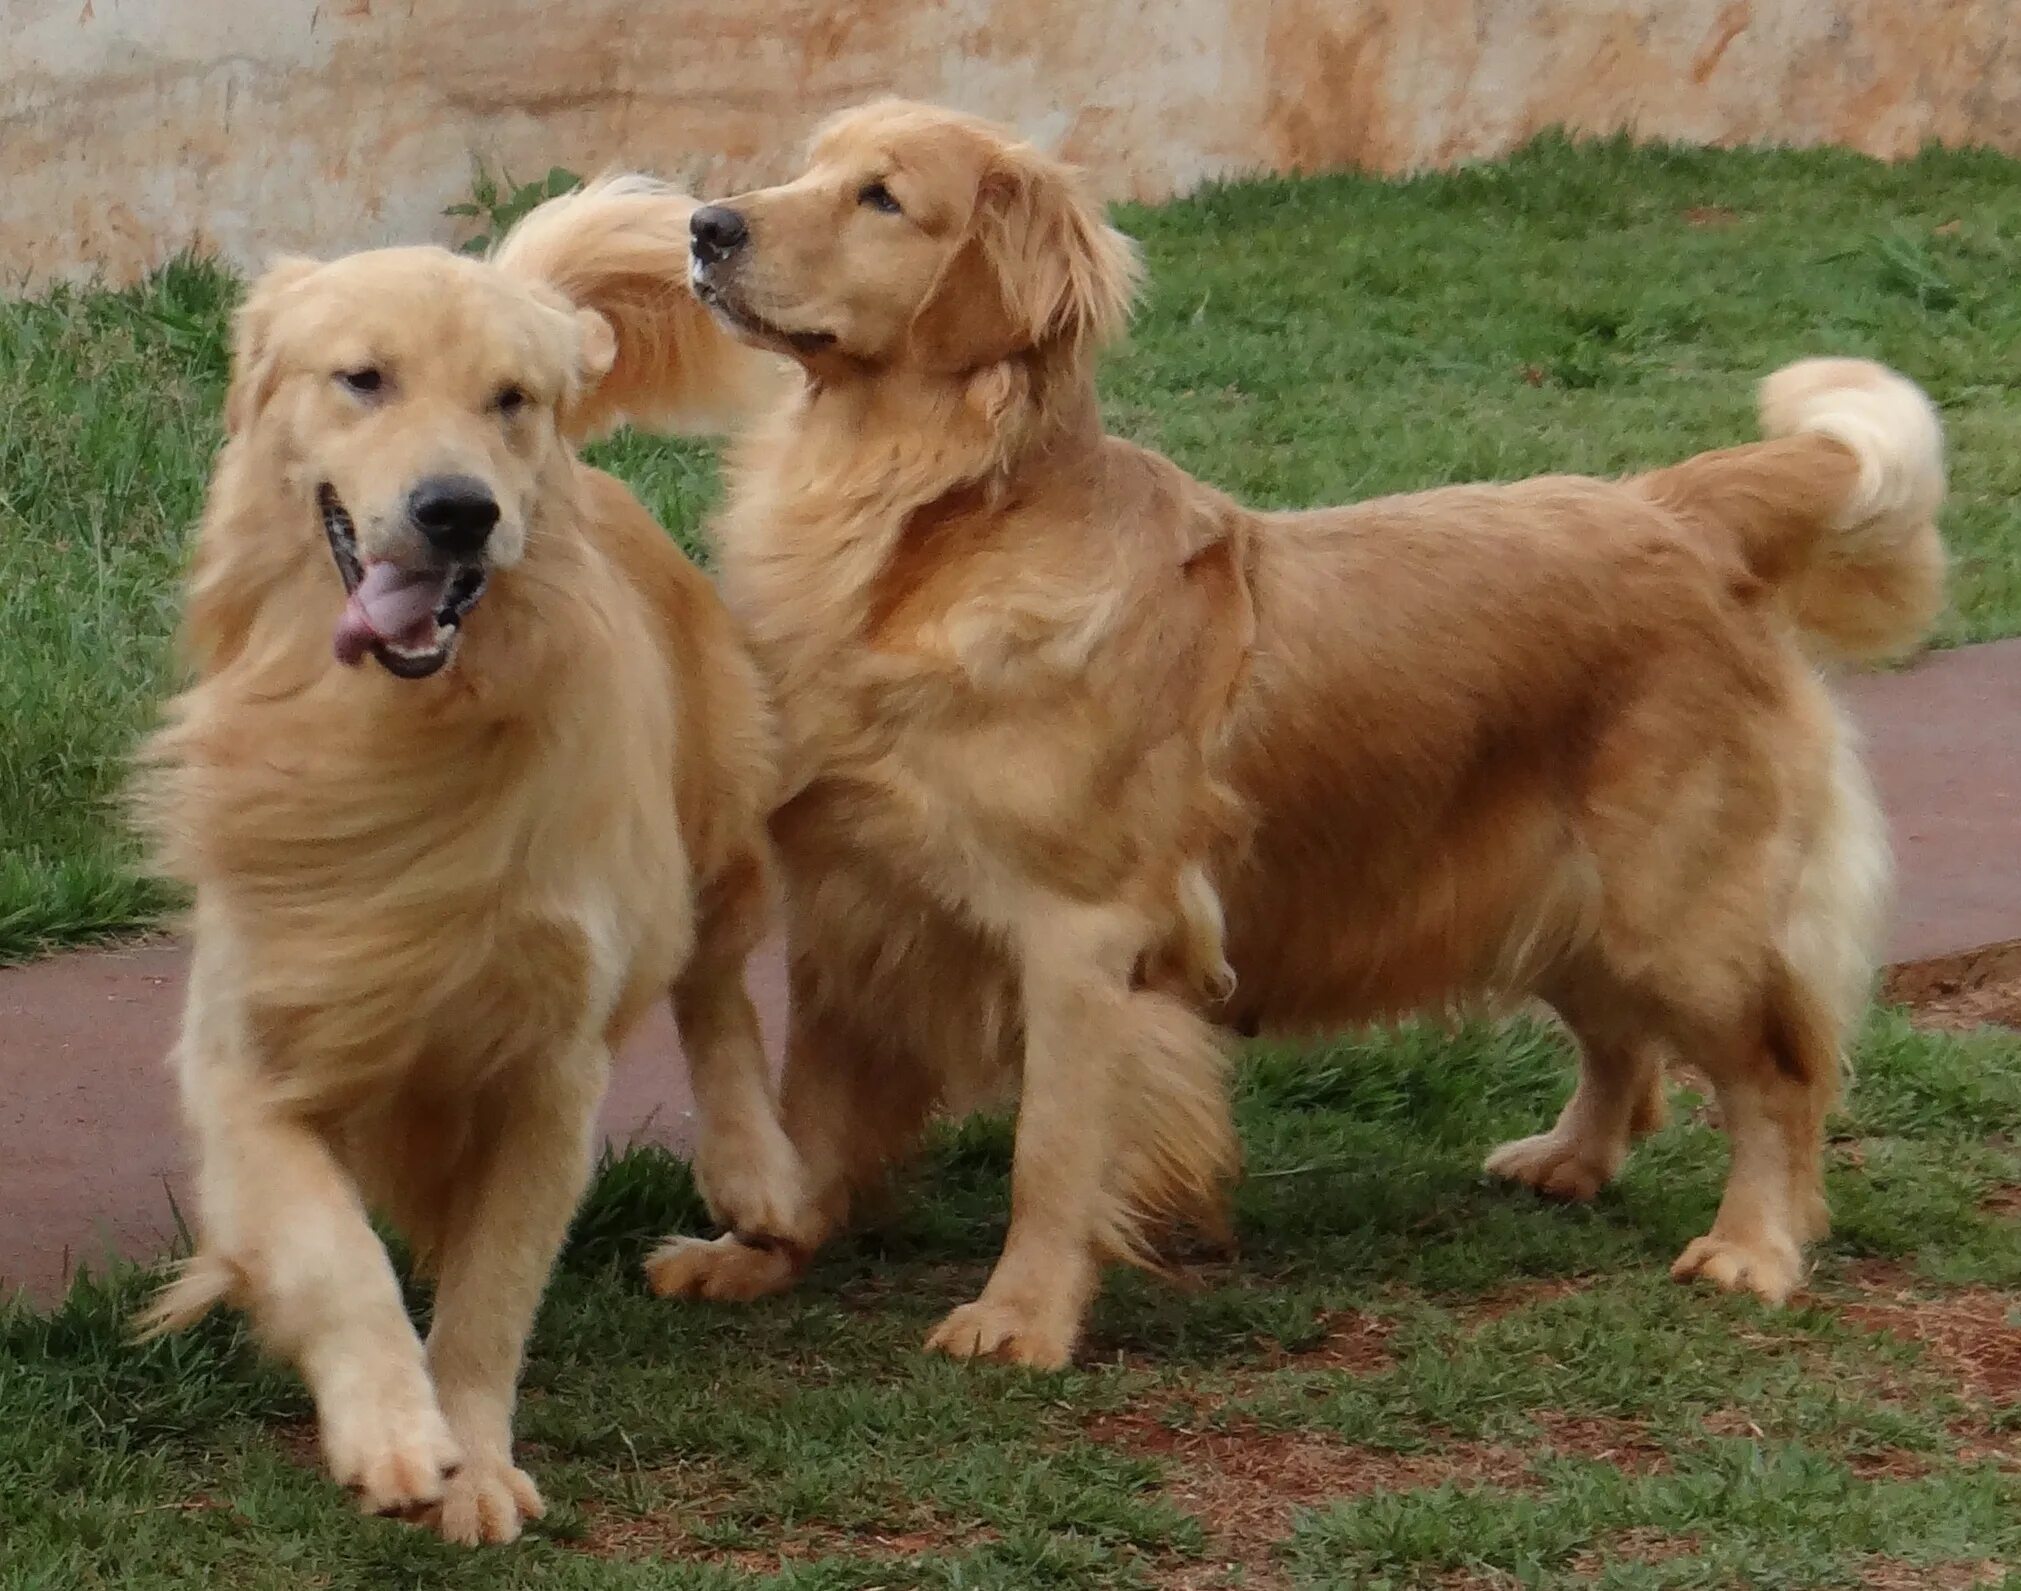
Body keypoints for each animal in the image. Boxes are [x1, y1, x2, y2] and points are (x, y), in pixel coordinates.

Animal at [124, 183, 804, 1544]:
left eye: (509, 398)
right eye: (362, 378)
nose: (458, 510)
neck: (399, 734)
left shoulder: (546, 1072)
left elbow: (491, 1296)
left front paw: (476, 1459)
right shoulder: (249, 1057)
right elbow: (337, 1255)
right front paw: (390, 1427)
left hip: (716, 820)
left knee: (715, 985)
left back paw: (753, 1168)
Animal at [590, 99, 1940, 1366]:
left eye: (880, 197)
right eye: (809, 167)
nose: (706, 226)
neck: (926, 523)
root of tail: (1681, 508)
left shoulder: (1079, 937)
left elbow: (1051, 1151)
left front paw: (1021, 1316)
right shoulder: (855, 909)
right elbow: (808, 1111)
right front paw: (757, 1244)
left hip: (1677, 907)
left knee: (1774, 1072)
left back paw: (1752, 1245)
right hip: (1556, 891)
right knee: (1623, 1045)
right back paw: (1570, 1158)